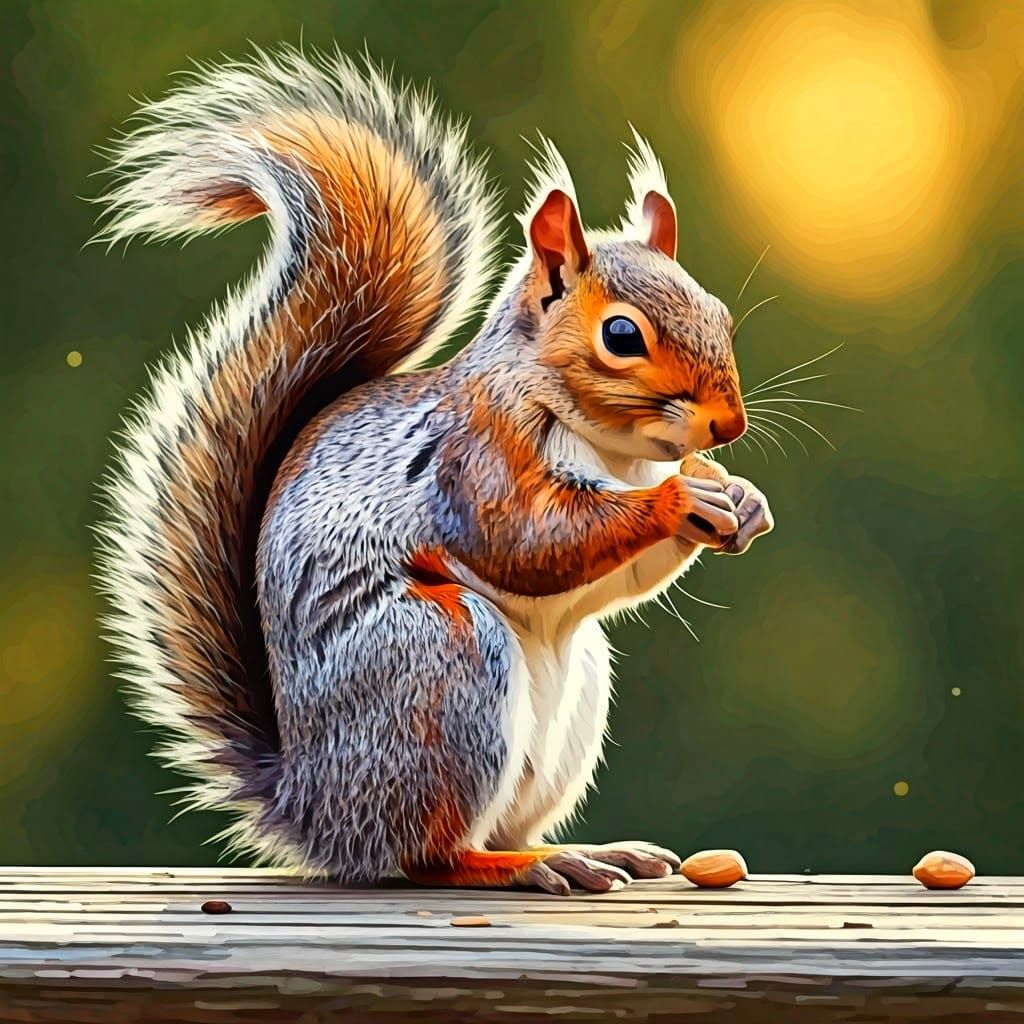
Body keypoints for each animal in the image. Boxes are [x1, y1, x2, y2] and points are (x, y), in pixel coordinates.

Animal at [95, 46, 773, 895]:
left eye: (721, 316)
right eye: (622, 335)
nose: (728, 425)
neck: (615, 452)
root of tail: (314, 809)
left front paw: (741, 499)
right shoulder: (473, 458)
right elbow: (529, 540)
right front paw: (678, 496)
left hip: (565, 701)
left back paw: (585, 852)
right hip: (442, 668)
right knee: (430, 855)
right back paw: (518, 867)